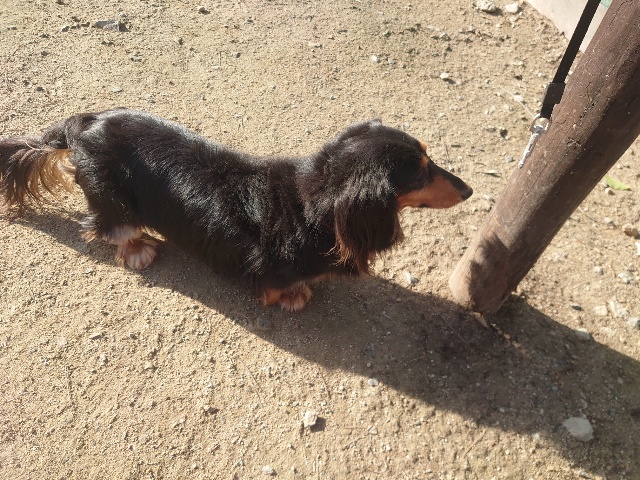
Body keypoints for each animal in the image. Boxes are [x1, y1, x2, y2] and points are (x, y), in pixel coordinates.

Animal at [0, 109, 472, 311]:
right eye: (421, 174)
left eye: (430, 160)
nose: (469, 190)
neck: (312, 203)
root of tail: (82, 124)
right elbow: (281, 287)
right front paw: (294, 296)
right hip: (113, 201)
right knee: (110, 228)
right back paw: (137, 250)